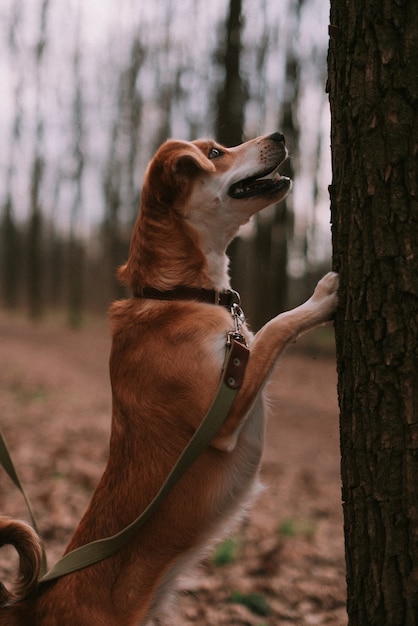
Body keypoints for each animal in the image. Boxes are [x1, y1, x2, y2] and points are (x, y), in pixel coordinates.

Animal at [0, 130, 340, 620]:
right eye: (216, 153)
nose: (279, 134)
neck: (177, 295)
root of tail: (33, 606)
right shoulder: (226, 409)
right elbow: (277, 327)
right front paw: (322, 297)